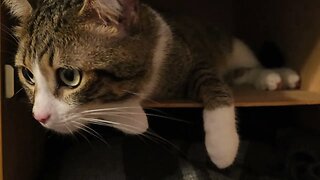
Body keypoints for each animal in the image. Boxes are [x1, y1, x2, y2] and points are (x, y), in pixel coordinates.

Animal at [4, 0, 300, 168]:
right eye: (28, 75)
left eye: (69, 77)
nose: (39, 117)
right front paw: (134, 118)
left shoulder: (192, 56)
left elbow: (213, 83)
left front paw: (222, 146)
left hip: (232, 45)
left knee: (244, 69)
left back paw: (277, 76)